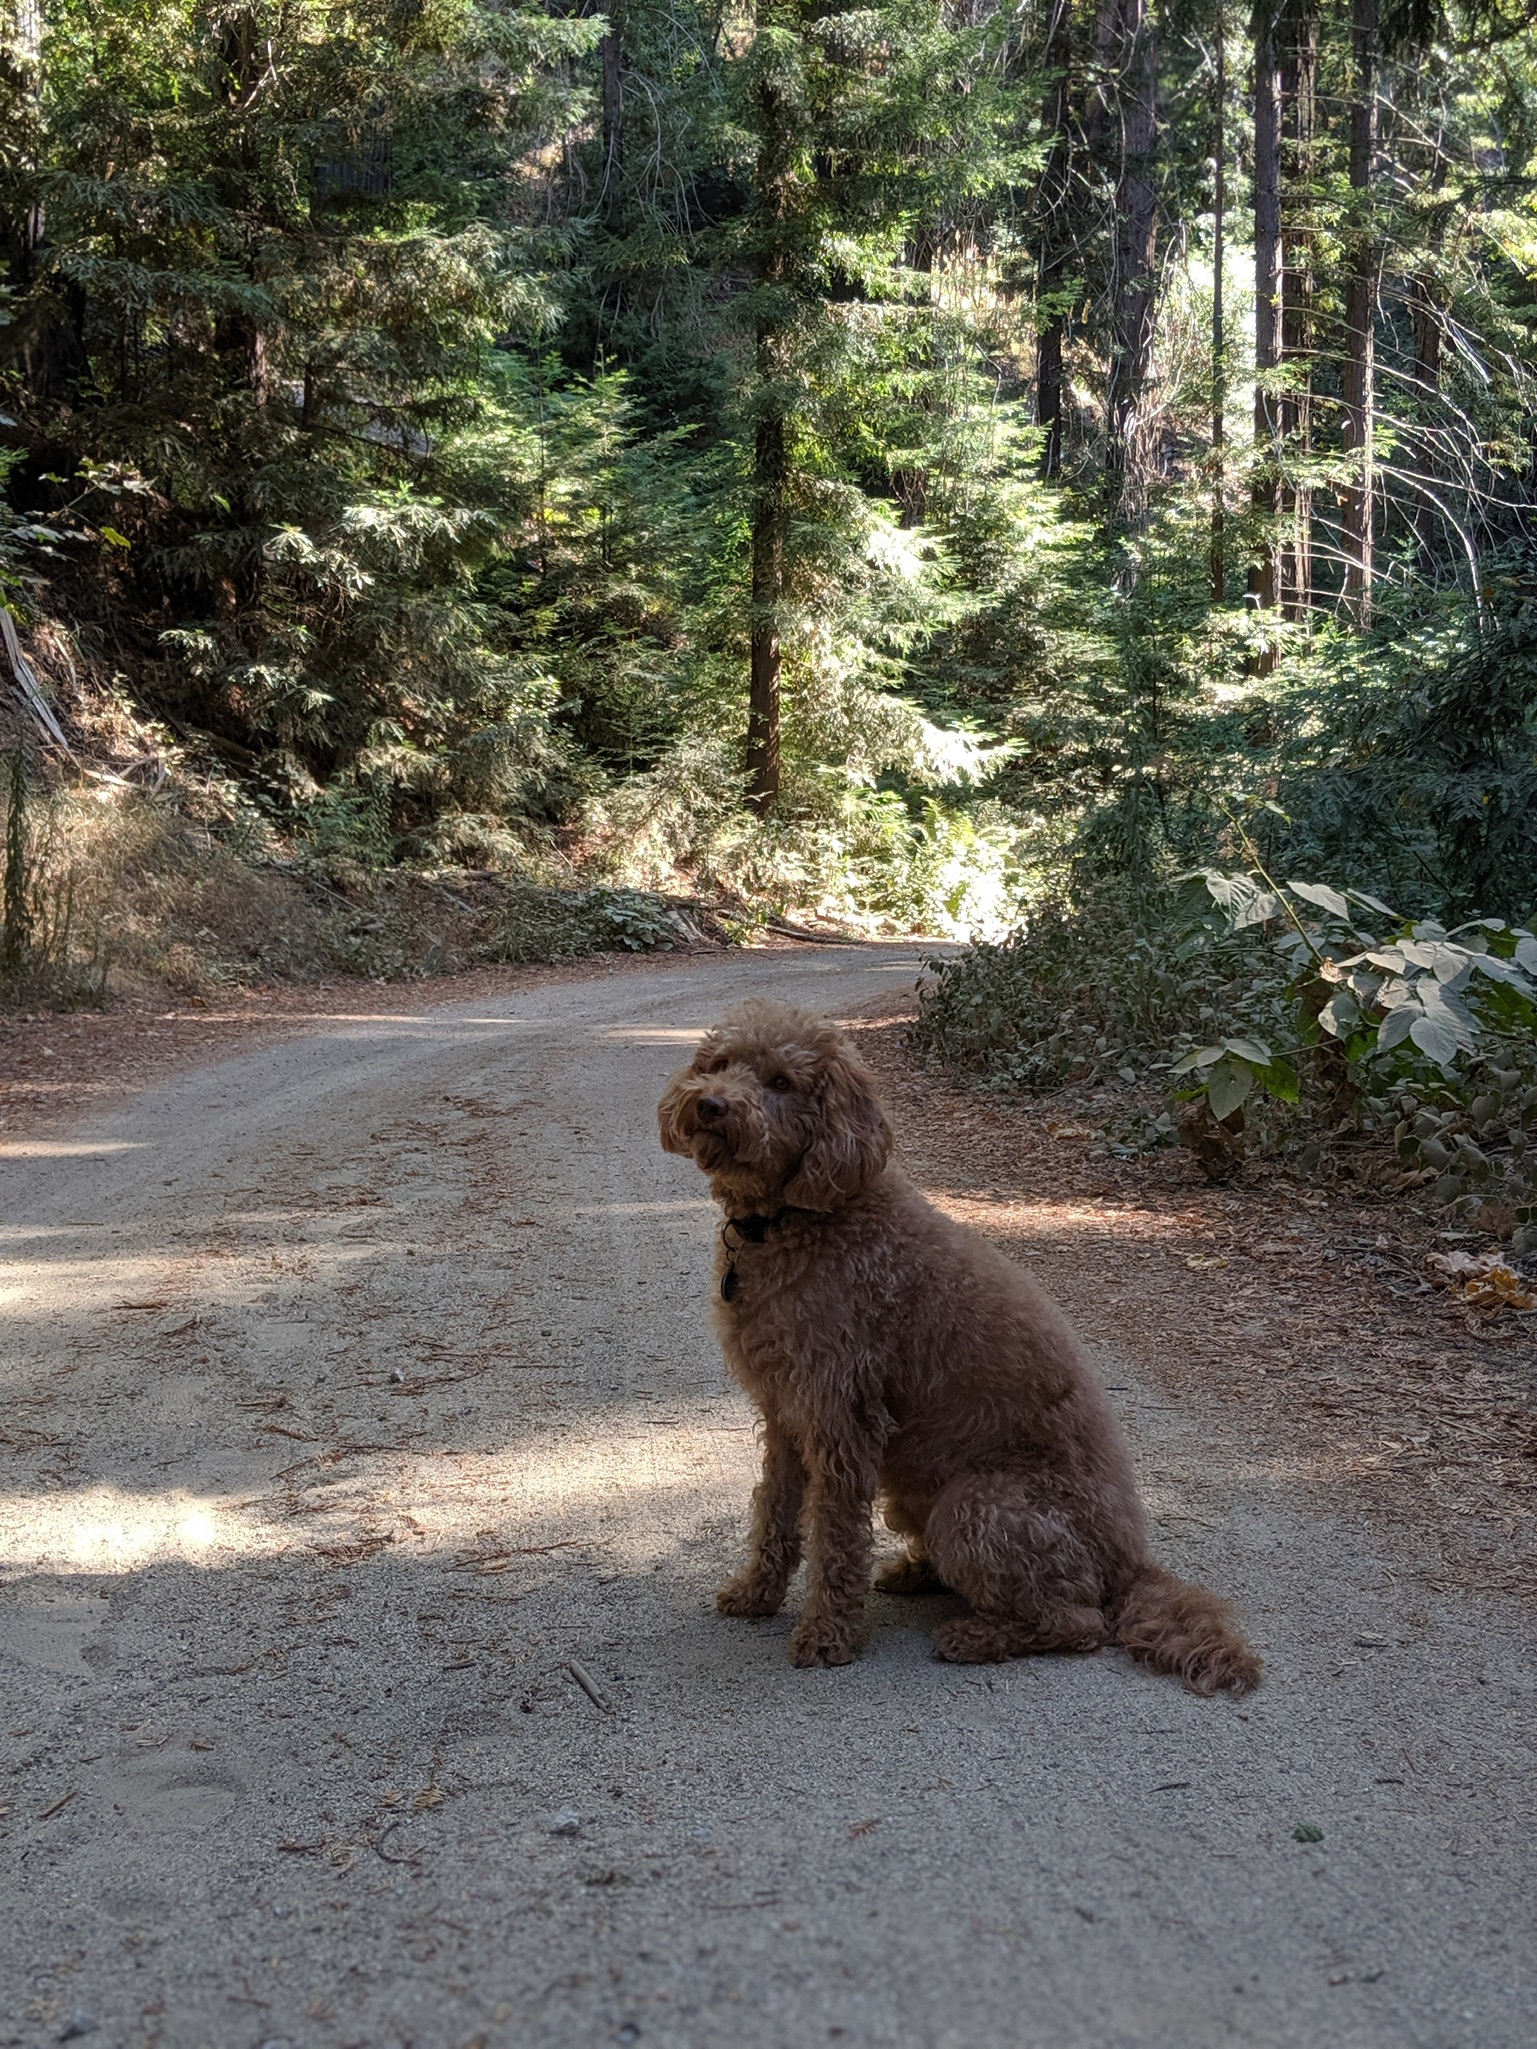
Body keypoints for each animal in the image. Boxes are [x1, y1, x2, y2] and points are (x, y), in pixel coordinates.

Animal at [658, 998, 1260, 1693]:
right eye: (718, 1063)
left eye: (782, 1082)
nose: (710, 1105)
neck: (794, 1221)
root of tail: (1131, 1568)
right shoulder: (785, 1414)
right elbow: (775, 1513)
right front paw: (756, 1594)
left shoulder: (842, 1420)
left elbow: (835, 1537)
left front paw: (827, 1636)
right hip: (918, 1492)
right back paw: (918, 1575)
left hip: (974, 1504)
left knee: (1077, 1621)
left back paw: (974, 1636)